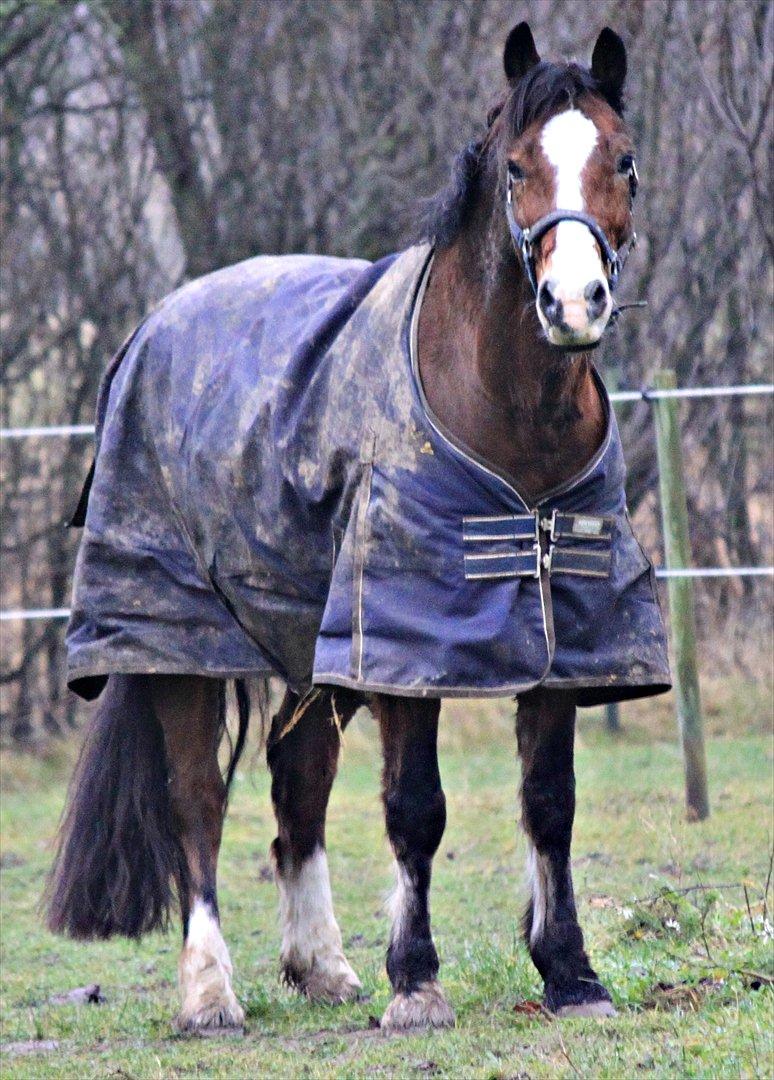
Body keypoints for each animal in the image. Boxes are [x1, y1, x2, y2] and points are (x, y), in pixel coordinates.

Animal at [46, 25, 664, 1032]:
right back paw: (211, 994)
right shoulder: (404, 652)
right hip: (178, 648)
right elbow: (416, 810)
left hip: (308, 650)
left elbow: (550, 805)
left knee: (298, 789)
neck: (506, 417)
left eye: (624, 160)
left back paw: (322, 967)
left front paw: (571, 974)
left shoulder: (562, 645)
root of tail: (153, 327)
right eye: (517, 166)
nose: (573, 303)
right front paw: (417, 983)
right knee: (195, 805)